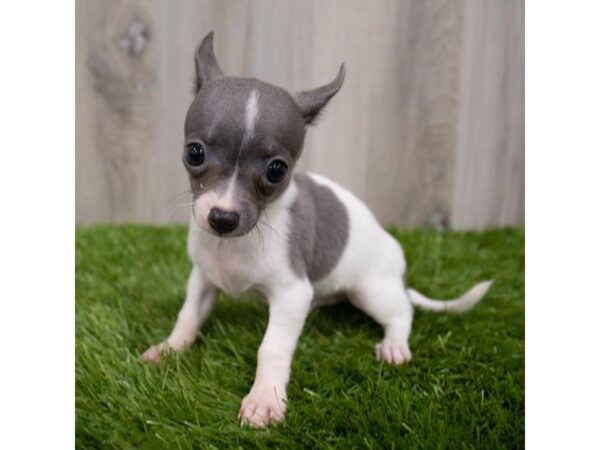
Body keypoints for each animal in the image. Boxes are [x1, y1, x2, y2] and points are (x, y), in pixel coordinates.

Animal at [143, 32, 494, 428]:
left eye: (276, 170)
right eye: (195, 153)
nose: (223, 217)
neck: (235, 246)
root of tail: (400, 275)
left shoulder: (292, 295)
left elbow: (272, 348)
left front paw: (265, 399)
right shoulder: (203, 279)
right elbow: (188, 316)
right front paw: (169, 349)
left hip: (371, 291)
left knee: (403, 312)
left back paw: (394, 344)